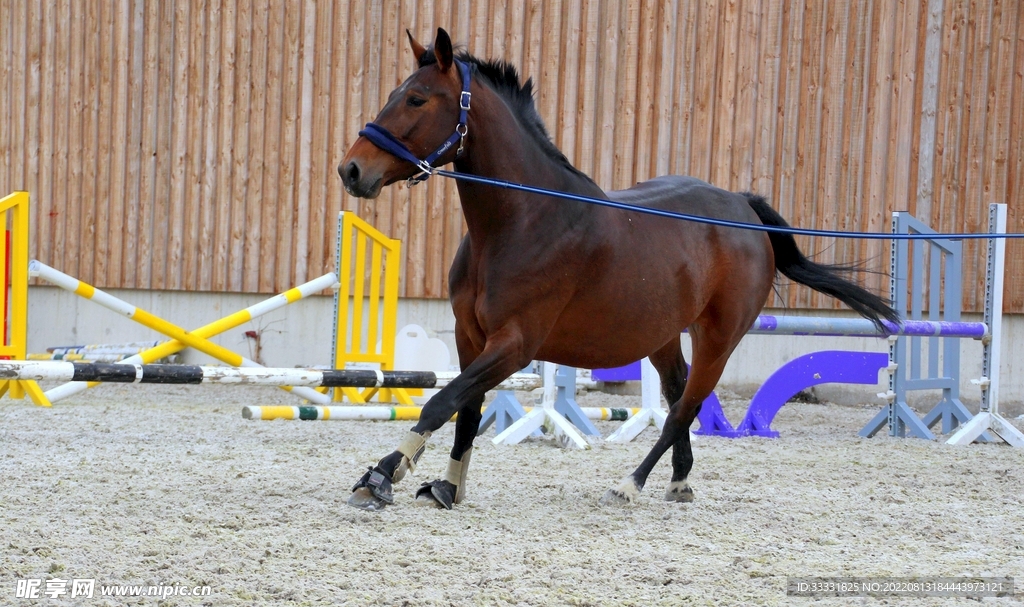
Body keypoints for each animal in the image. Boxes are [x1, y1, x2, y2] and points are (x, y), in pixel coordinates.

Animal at [338, 28, 898, 511]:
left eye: (417, 100)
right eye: (396, 93)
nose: (352, 170)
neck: (521, 222)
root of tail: (741, 207)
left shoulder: (515, 344)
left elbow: (442, 402)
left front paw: (382, 475)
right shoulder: (469, 336)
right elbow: (466, 412)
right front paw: (447, 488)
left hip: (720, 338)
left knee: (683, 409)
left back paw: (631, 484)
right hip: (664, 336)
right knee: (678, 394)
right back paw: (679, 481)